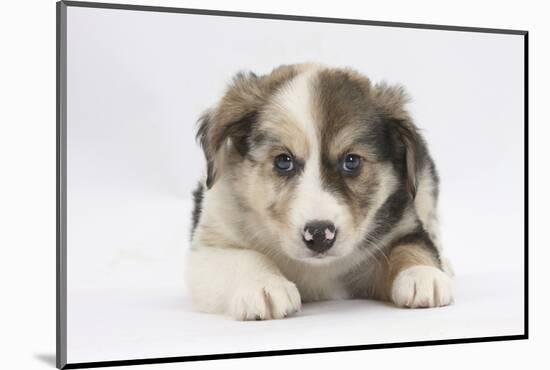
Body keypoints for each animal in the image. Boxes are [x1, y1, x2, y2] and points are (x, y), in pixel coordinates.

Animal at [188, 62, 454, 320]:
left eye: (351, 161)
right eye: (283, 161)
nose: (318, 235)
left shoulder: (401, 226)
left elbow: (410, 245)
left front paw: (422, 274)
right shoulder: (207, 250)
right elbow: (244, 257)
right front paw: (264, 285)